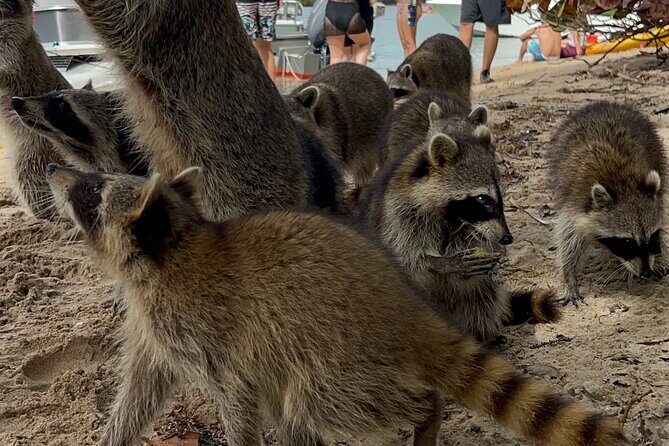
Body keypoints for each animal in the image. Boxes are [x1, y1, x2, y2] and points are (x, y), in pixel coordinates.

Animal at [47, 164, 624, 446]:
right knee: (295, 416)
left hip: (336, 356)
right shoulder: (154, 326)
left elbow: (237, 401)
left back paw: (425, 412)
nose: (54, 169)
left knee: (318, 403)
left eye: (92, 191)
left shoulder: (208, 330)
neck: (172, 251)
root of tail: (408, 309)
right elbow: (143, 389)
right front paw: (114, 435)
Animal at [359, 91, 559, 341]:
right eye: (482, 199)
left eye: (499, 197)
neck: (448, 215)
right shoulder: (399, 214)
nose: (507, 239)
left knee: (480, 294)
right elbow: (408, 259)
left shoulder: (468, 228)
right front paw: (441, 263)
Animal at [548, 101, 667, 306]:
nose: (645, 272)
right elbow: (569, 239)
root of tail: (602, 104)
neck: (623, 183)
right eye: (627, 242)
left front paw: (657, 255)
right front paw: (570, 277)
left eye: (652, 237)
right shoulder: (574, 204)